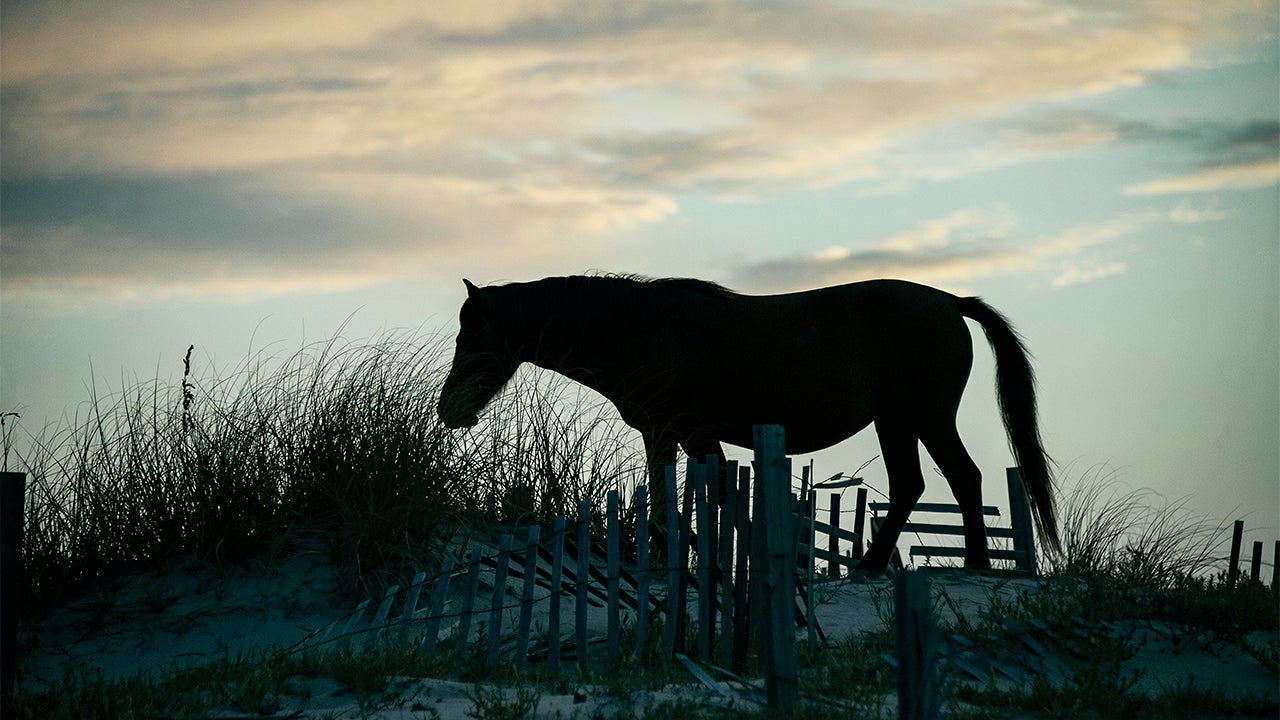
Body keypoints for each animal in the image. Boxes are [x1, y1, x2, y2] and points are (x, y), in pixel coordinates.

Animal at [437, 274, 1059, 572]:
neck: (636, 328)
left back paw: (963, 563)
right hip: (898, 422)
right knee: (923, 483)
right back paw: (882, 566)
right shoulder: (684, 437)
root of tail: (952, 302)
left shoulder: (676, 433)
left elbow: (684, 497)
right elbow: (695, 497)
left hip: (922, 417)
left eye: (473, 335)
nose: (449, 410)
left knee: (958, 479)